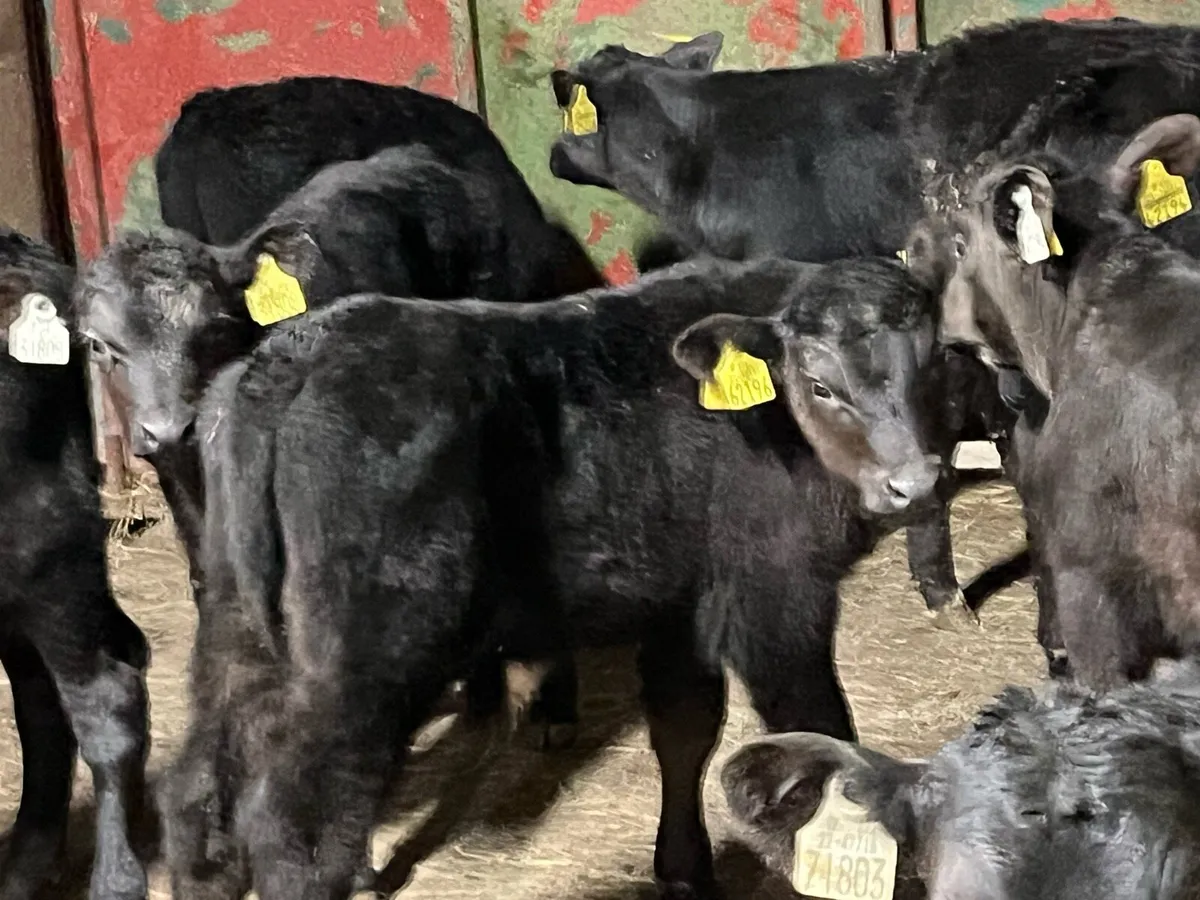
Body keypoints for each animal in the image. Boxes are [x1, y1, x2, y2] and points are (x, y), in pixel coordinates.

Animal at [158, 254, 953, 900]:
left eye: (934, 364)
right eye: (820, 384)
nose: (914, 484)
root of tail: (289, 360)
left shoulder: (675, 596)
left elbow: (684, 727)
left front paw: (683, 869)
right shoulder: (776, 592)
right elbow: (819, 737)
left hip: (235, 623)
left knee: (197, 794)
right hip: (366, 648)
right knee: (300, 826)